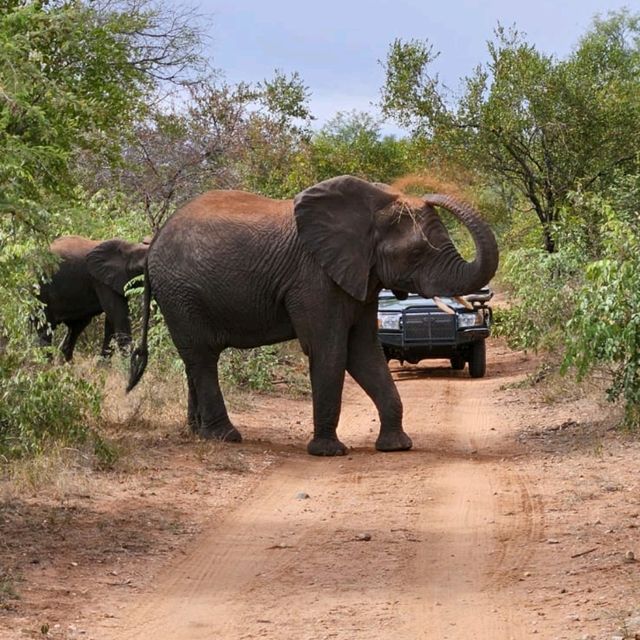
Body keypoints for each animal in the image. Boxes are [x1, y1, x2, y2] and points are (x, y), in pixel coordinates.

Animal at [127, 175, 500, 456]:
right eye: (417, 252)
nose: (424, 194)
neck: (371, 206)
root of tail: (153, 242)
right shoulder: (314, 278)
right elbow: (330, 349)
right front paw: (328, 452)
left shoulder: (360, 277)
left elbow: (364, 351)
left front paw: (396, 447)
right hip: (180, 293)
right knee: (202, 357)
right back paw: (226, 437)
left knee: (194, 359)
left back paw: (198, 434)